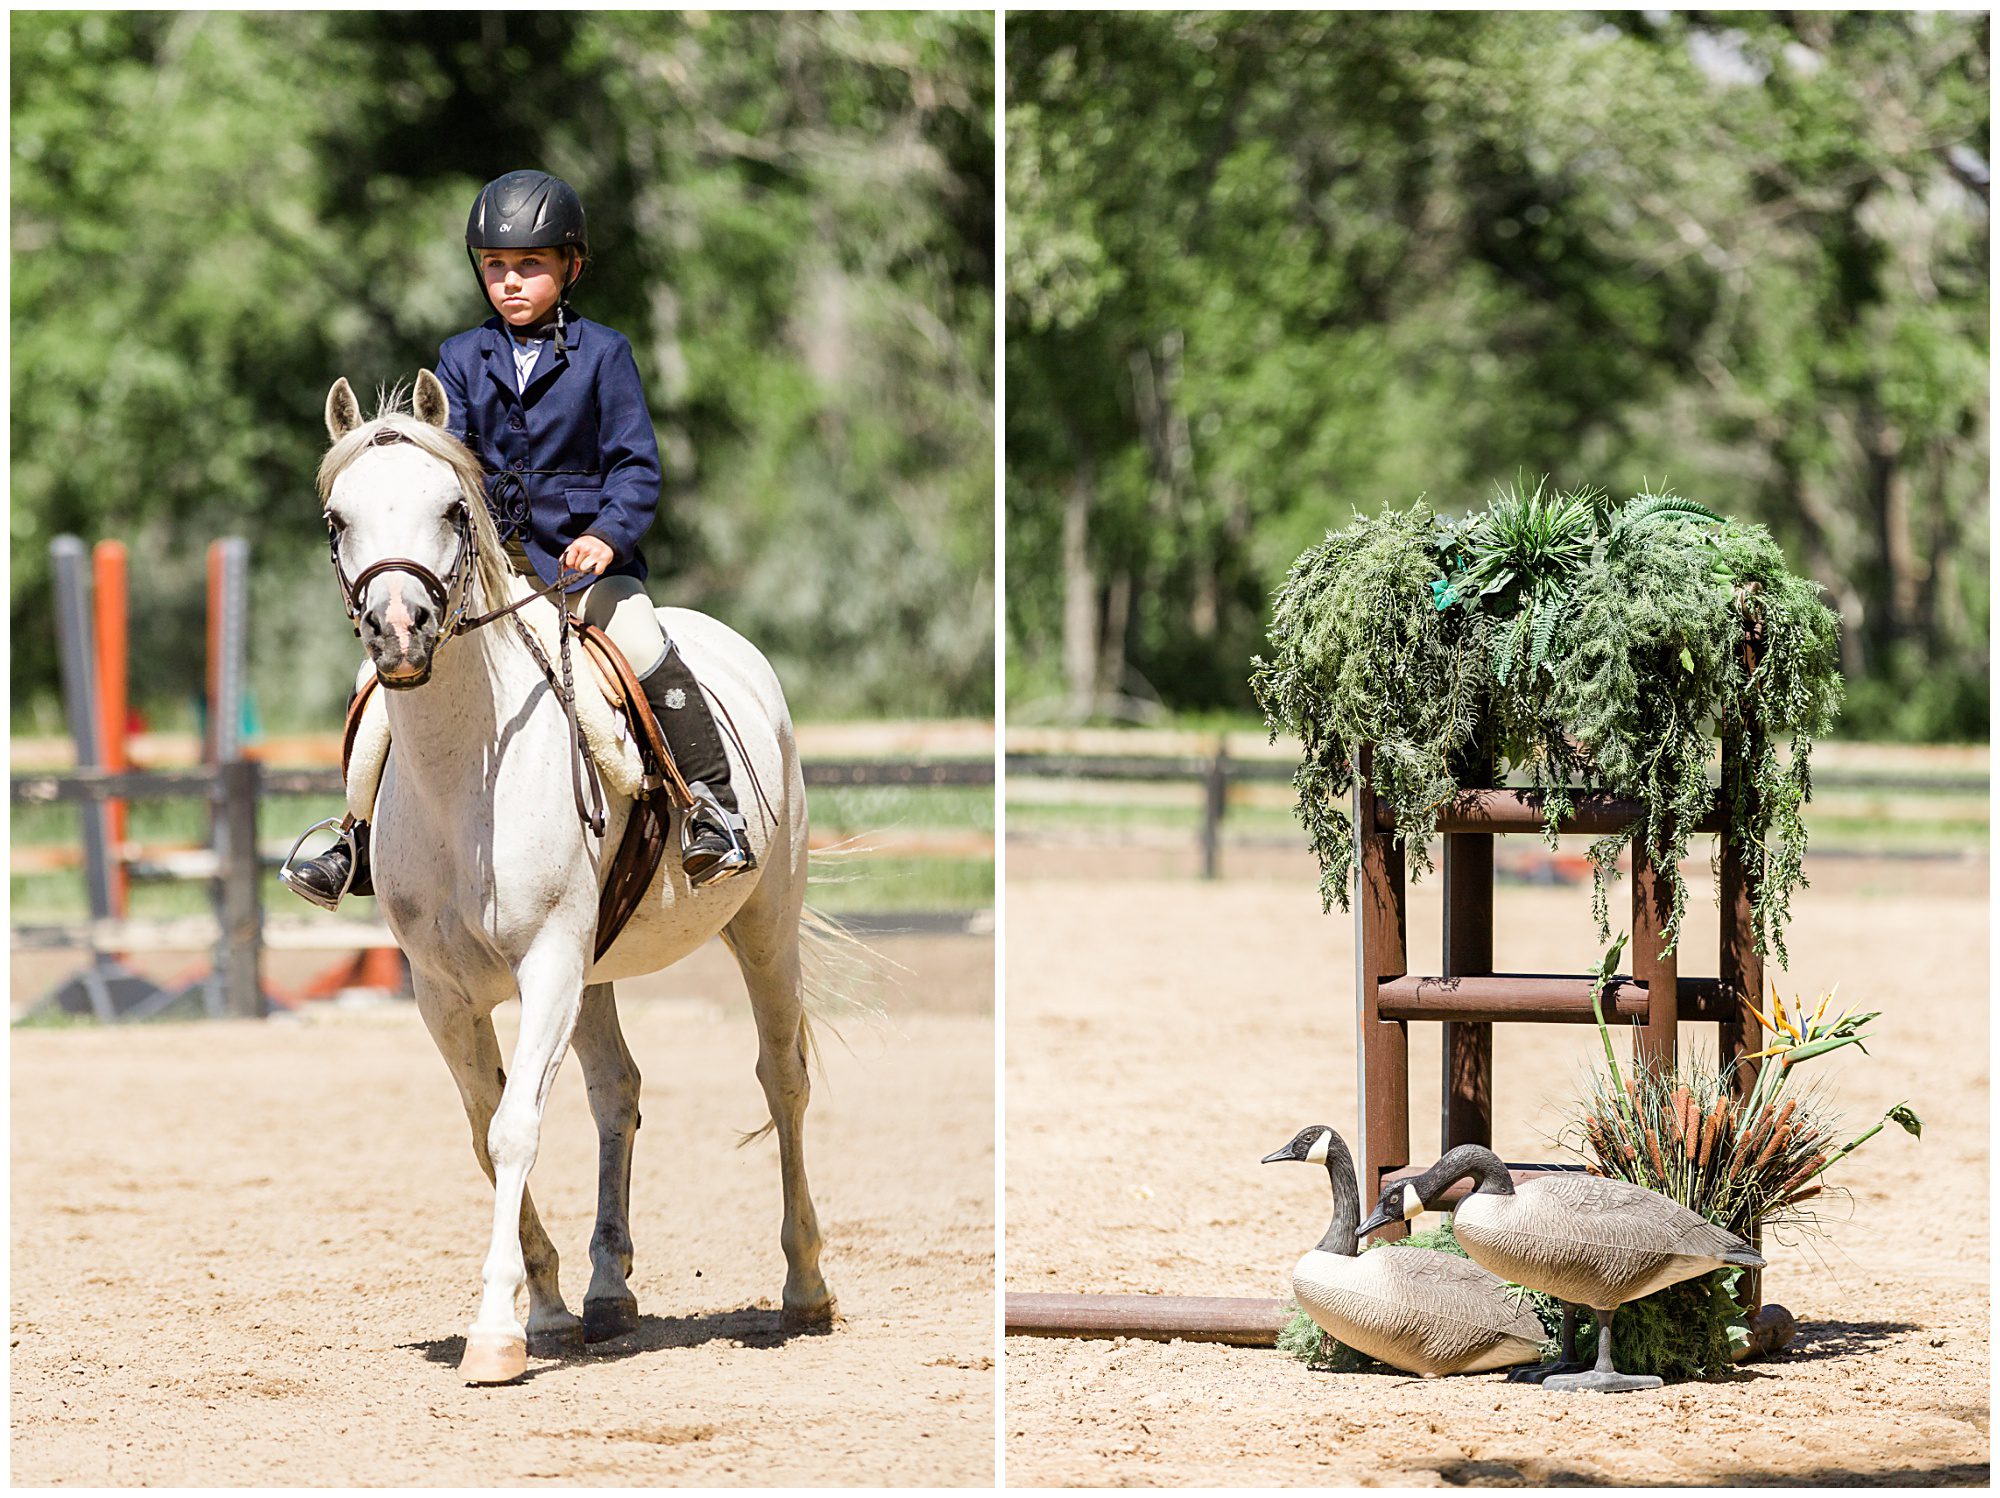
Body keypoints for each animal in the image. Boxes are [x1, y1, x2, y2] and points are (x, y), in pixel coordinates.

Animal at [316, 372, 832, 1376]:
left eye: (451, 508)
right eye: (337, 518)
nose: (399, 634)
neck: (463, 775)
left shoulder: (549, 962)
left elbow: (516, 1125)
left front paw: (494, 1333)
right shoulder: (443, 991)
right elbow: (487, 1132)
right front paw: (547, 1306)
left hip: (763, 928)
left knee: (780, 1079)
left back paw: (804, 1288)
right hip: (596, 968)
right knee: (616, 1094)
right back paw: (606, 1291)